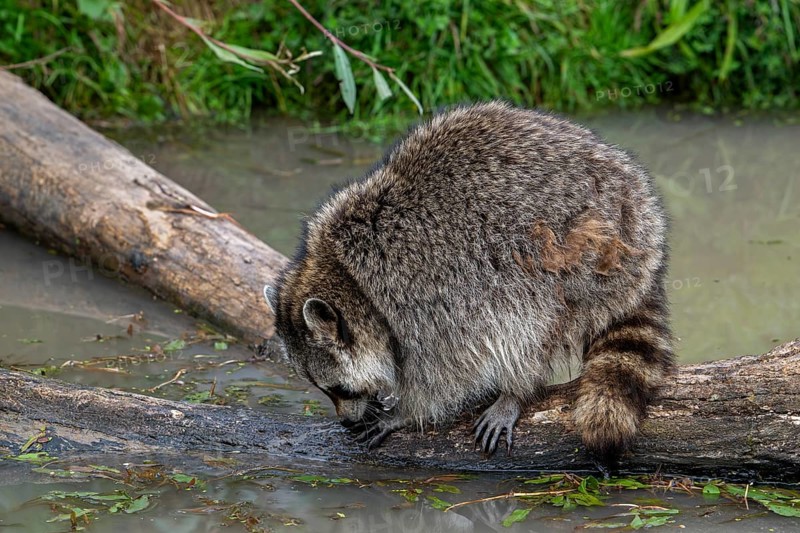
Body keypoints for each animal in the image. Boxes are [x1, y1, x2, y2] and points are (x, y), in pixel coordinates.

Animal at [263, 101, 674, 459]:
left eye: (338, 388)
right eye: (323, 389)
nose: (346, 422)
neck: (350, 281)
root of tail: (647, 227)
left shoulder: (420, 294)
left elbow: (447, 372)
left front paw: (406, 412)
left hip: (581, 255)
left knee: (532, 318)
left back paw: (517, 388)